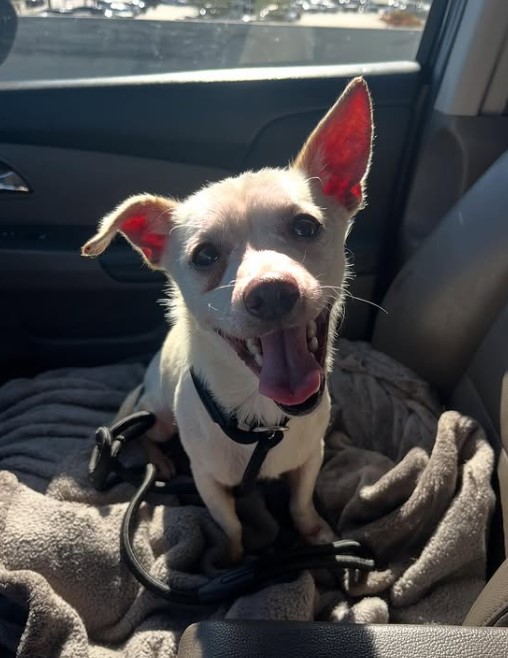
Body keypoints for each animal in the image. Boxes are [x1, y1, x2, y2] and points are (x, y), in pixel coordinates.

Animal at [81, 77, 372, 560]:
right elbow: (231, 524)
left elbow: (301, 503)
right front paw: (231, 560)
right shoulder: (208, 482)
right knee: (146, 433)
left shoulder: (311, 458)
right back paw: (159, 461)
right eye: (204, 256)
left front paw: (315, 535)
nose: (271, 291)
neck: (263, 423)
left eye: (306, 227)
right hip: (159, 413)